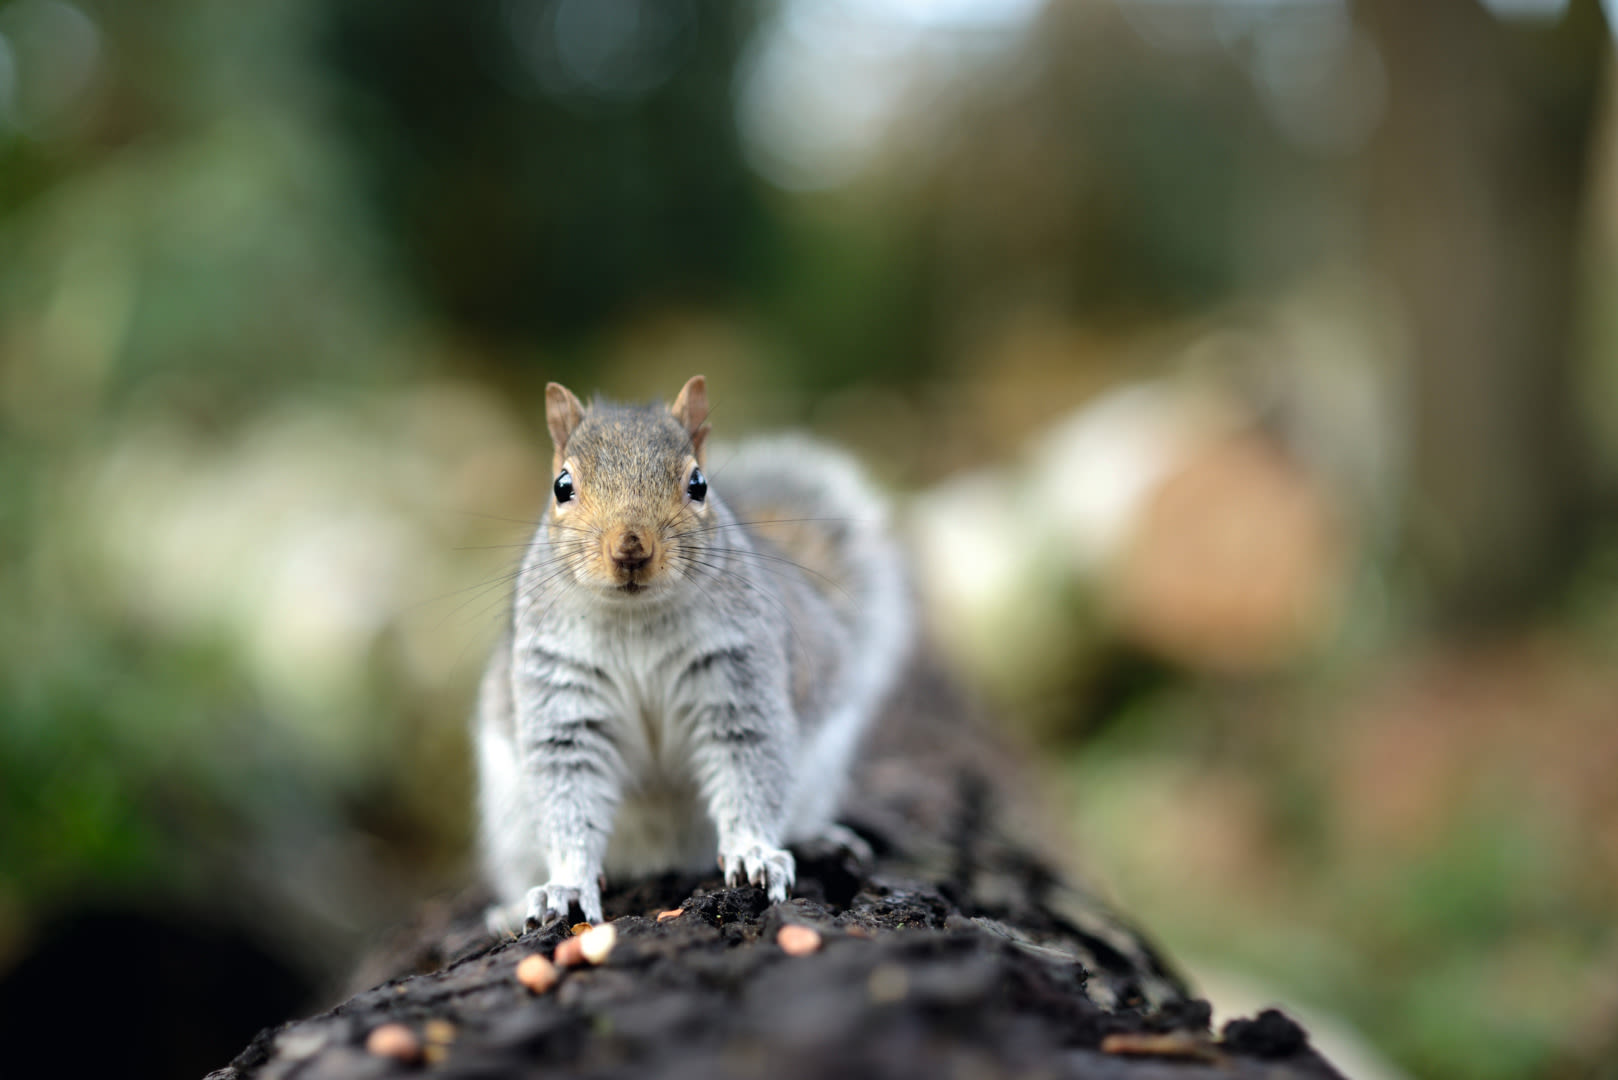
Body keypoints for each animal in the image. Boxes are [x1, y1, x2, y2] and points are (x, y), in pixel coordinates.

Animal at [475, 374, 912, 932]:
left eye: (698, 484)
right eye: (561, 486)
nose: (631, 546)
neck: (636, 620)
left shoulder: (738, 673)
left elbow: (750, 766)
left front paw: (753, 854)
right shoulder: (563, 695)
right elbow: (567, 792)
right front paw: (566, 885)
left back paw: (819, 839)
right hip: (508, 817)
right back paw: (509, 910)